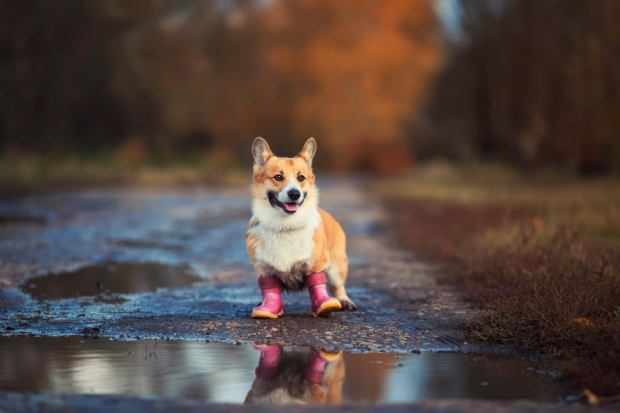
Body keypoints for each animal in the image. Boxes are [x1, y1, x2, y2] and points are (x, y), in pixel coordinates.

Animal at [246, 137, 354, 318]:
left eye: (301, 178)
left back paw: (344, 301)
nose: (294, 194)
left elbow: (317, 283)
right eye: (278, 177)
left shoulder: (316, 264)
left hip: (337, 266)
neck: (284, 225)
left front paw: (324, 305)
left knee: (338, 285)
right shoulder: (264, 269)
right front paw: (268, 308)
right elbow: (269, 287)